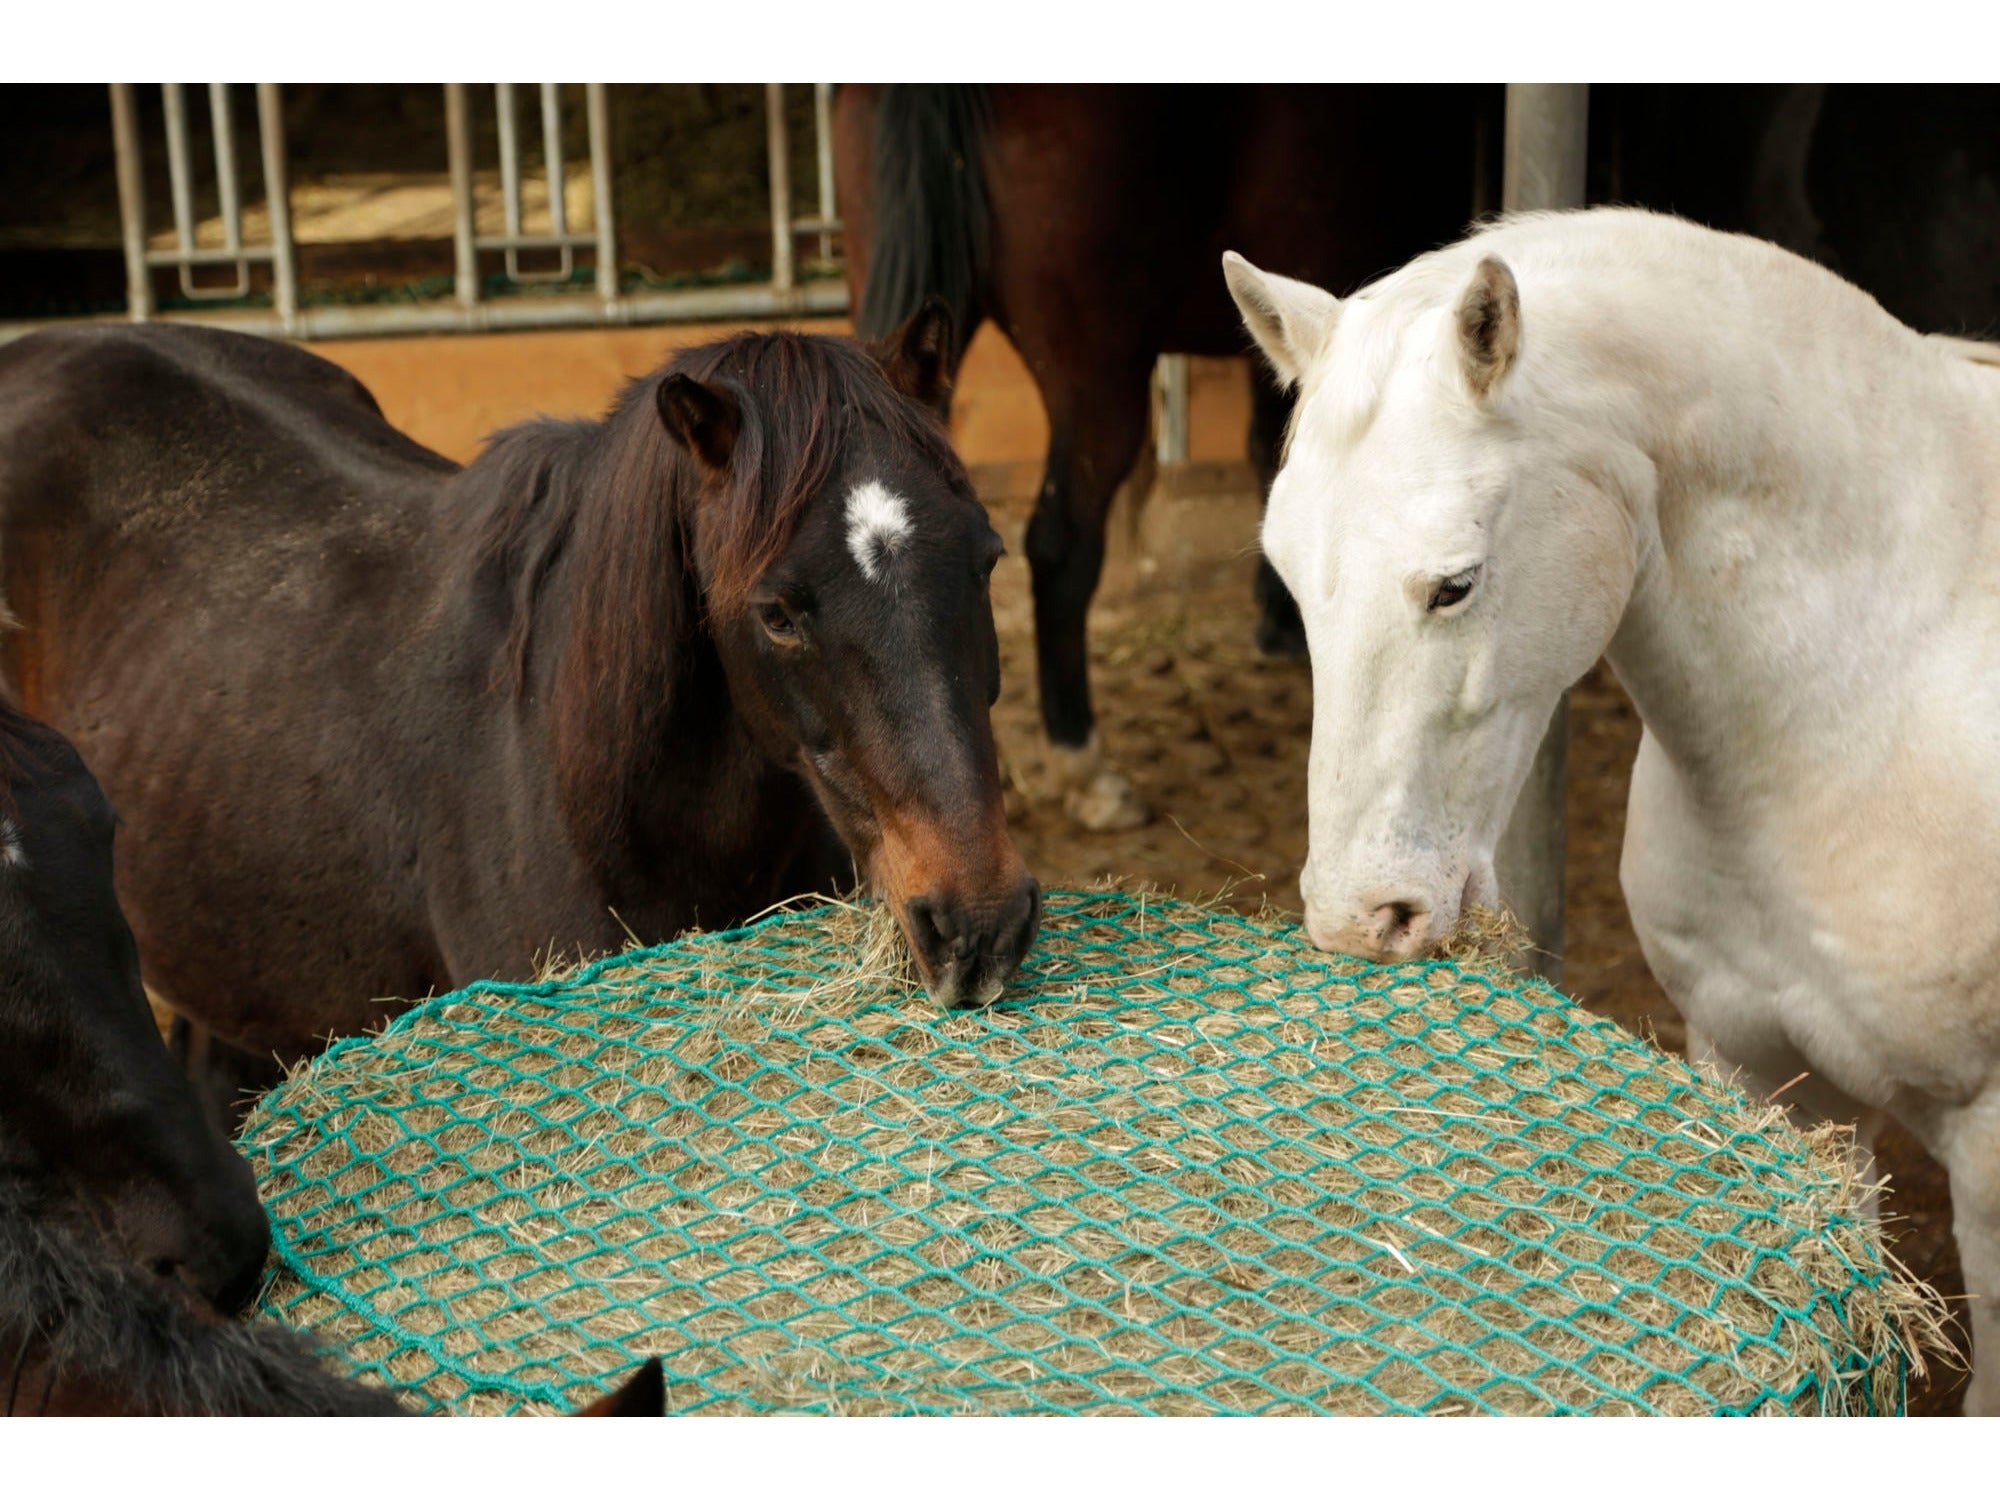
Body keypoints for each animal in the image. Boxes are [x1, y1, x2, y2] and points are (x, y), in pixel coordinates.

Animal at [1225, 206, 2000, 1414]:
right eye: (1289, 579)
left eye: (1455, 583)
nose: (1360, 917)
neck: (1878, 686)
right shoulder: (1763, 1075)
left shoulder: (1987, 1157)